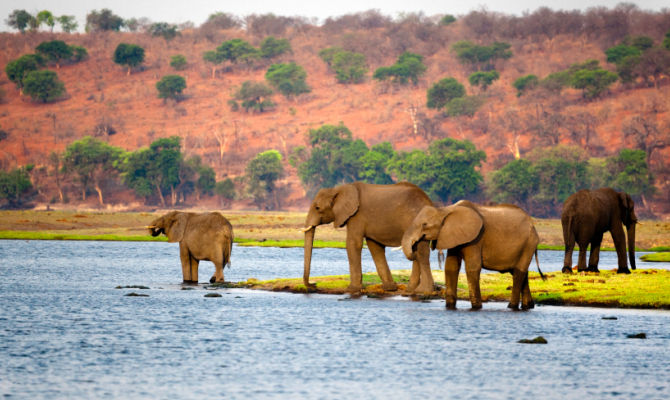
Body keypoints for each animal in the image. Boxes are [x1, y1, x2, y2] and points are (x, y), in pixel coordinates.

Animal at [304, 181, 436, 294]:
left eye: (317, 208)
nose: (314, 285)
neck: (338, 189)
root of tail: (429, 201)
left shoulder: (356, 215)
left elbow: (353, 243)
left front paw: (352, 289)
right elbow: (375, 247)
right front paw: (389, 288)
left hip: (419, 221)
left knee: (421, 252)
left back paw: (422, 291)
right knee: (417, 249)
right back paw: (411, 290)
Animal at [402, 202, 544, 310]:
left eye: (424, 224)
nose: (414, 247)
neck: (446, 209)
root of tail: (533, 226)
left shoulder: (476, 238)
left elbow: (472, 267)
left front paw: (476, 307)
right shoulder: (453, 236)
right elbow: (451, 267)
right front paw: (450, 306)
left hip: (529, 243)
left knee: (519, 273)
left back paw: (511, 306)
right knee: (520, 272)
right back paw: (528, 306)